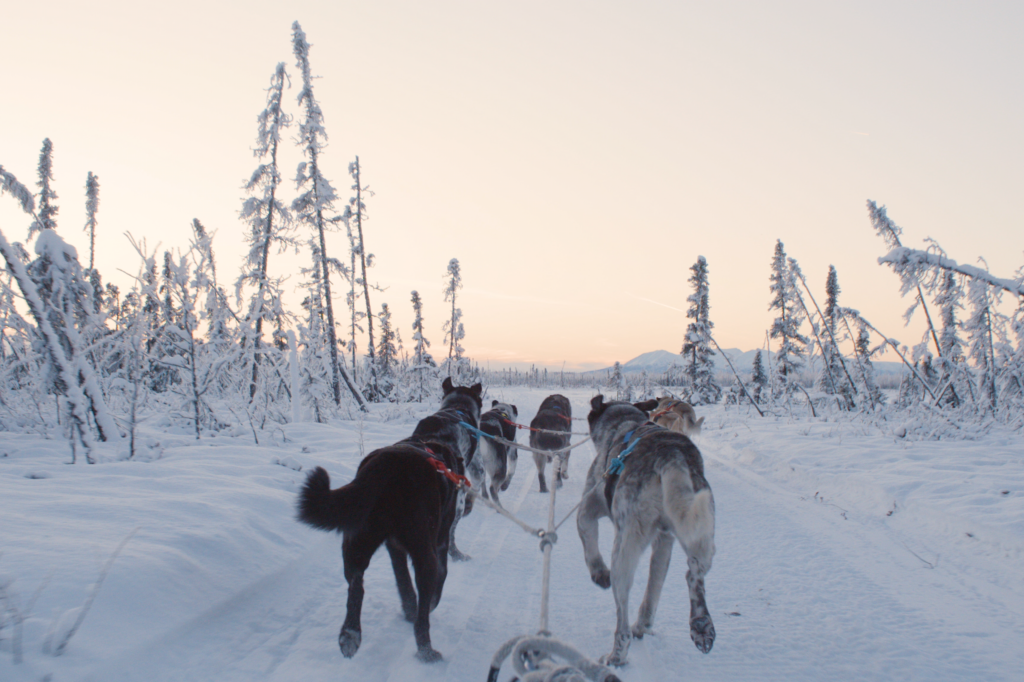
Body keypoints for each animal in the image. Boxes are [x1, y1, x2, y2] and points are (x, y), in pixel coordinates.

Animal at [299, 438, 466, 659]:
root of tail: (388, 463)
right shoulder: (440, 542)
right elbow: (439, 579)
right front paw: (425, 606)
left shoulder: (394, 547)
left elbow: (403, 582)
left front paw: (409, 609)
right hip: (424, 551)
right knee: (423, 616)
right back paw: (426, 651)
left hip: (358, 540)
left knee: (356, 586)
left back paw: (350, 635)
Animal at [577, 393, 720, 663]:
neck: (623, 422)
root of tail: (671, 455)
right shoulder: (664, 540)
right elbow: (654, 588)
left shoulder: (589, 506)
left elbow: (587, 538)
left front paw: (599, 573)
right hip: (698, 531)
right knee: (690, 575)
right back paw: (699, 625)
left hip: (625, 547)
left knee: (622, 619)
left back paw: (616, 656)